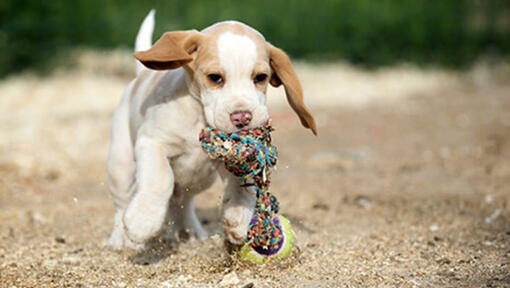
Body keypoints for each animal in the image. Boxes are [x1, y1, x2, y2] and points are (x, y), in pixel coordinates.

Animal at [106, 10, 316, 251]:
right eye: (215, 78)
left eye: (260, 78)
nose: (242, 117)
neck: (199, 118)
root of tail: (139, 77)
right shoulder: (152, 143)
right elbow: (159, 179)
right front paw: (142, 221)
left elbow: (241, 186)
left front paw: (239, 217)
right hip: (121, 165)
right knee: (122, 203)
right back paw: (121, 240)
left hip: (199, 180)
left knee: (182, 202)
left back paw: (190, 231)